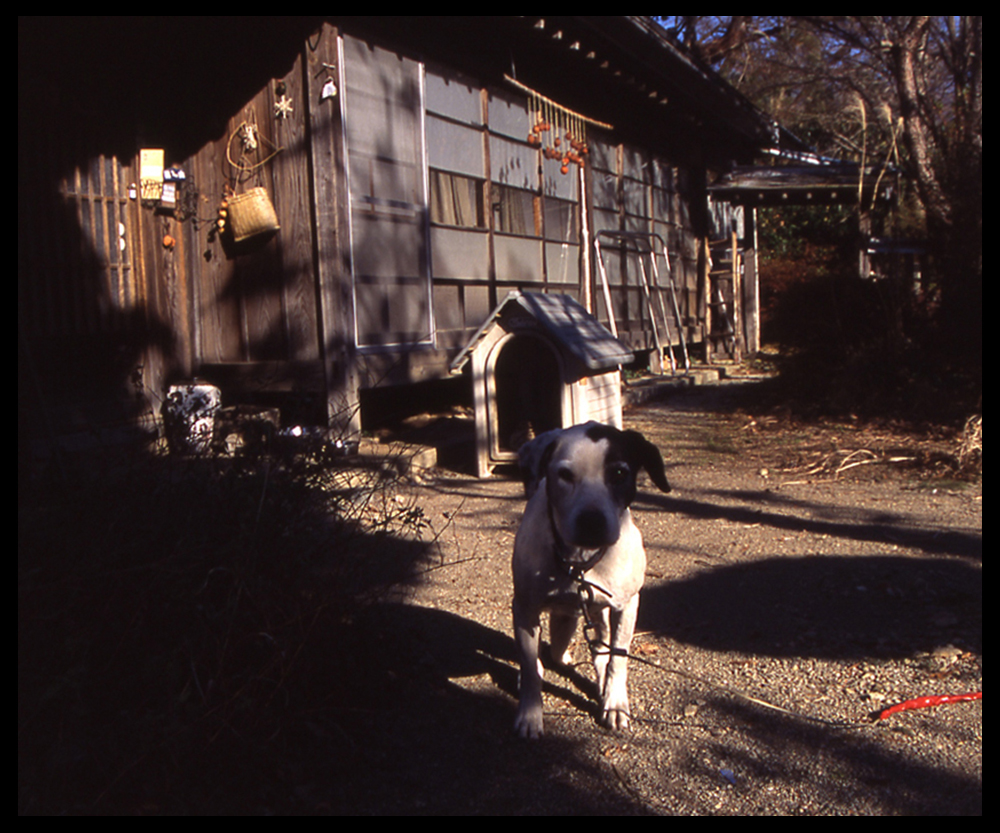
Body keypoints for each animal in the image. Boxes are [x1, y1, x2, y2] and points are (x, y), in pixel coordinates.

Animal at [512, 422, 668, 736]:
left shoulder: (627, 607)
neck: (579, 562)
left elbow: (617, 659)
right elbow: (530, 666)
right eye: (564, 475)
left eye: (619, 473)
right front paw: (530, 713)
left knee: (599, 649)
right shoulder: (524, 609)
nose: (591, 521)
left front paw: (614, 703)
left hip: (600, 614)